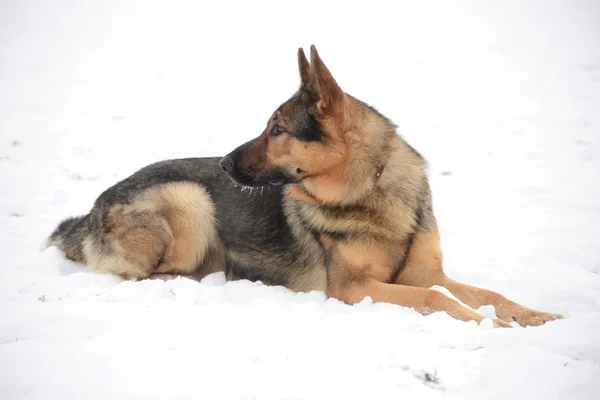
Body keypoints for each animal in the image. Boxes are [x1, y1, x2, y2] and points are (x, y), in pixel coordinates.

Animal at [47, 46, 564, 328]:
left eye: (277, 129)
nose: (224, 164)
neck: (370, 192)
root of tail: (90, 213)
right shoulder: (354, 289)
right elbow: (438, 300)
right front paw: (482, 325)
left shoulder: (424, 273)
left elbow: (491, 295)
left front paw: (538, 317)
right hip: (191, 201)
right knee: (146, 274)